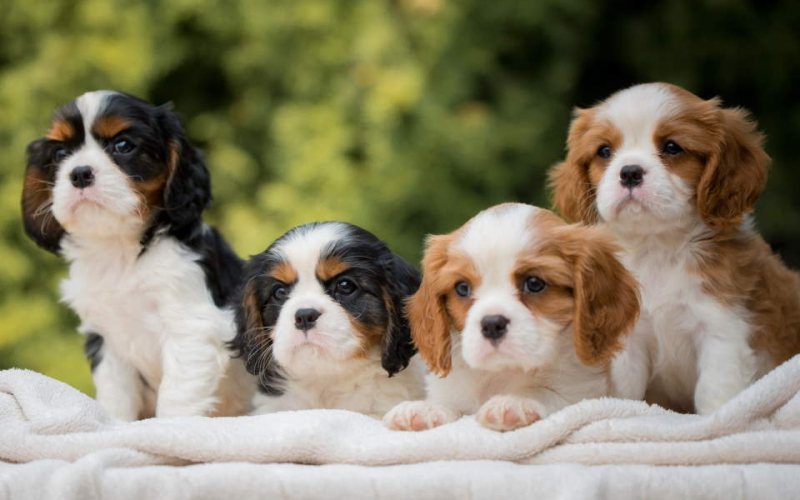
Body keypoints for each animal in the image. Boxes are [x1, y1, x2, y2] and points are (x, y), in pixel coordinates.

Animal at [21, 92, 255, 420]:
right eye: (60, 153)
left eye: (123, 146)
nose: (79, 173)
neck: (120, 251)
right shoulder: (107, 340)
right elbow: (116, 396)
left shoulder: (190, 327)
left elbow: (177, 397)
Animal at [384, 202, 640, 430]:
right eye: (463, 288)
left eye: (534, 283)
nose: (491, 324)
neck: (503, 372)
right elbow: (450, 404)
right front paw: (425, 408)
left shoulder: (584, 393)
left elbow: (548, 394)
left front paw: (515, 401)